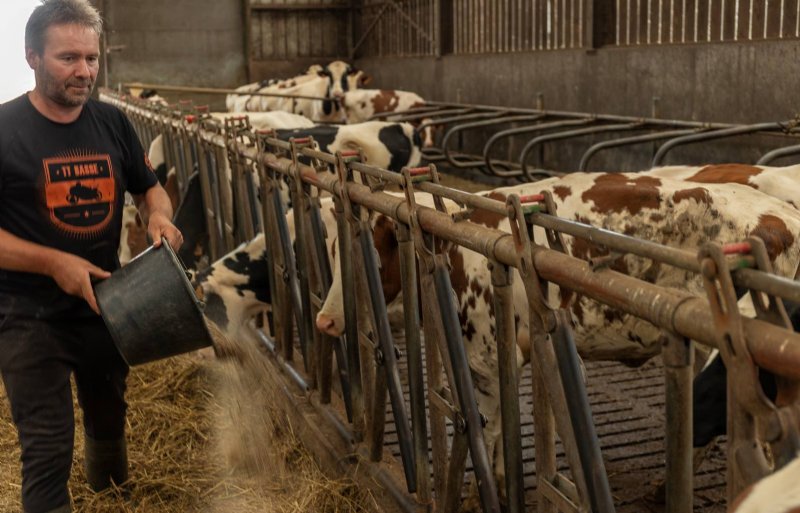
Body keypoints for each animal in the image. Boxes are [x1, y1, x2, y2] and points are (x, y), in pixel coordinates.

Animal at [314, 173, 800, 496]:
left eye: (368, 254)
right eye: (331, 250)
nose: (325, 321)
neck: (454, 242)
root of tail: (781, 217)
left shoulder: (485, 354)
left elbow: (488, 431)